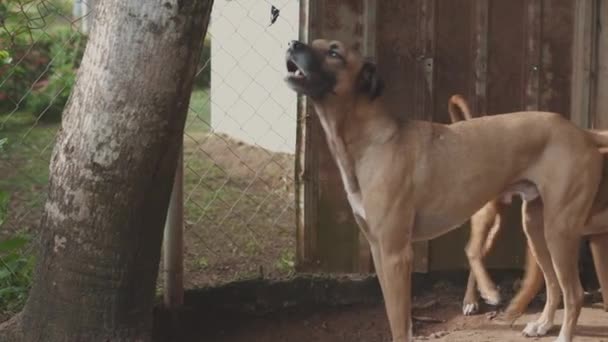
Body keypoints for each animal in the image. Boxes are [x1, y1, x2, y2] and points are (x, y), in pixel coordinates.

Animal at [284, 38, 608, 340]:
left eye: (334, 52)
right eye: (316, 42)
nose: (292, 44)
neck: (372, 139)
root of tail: (581, 133)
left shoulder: (395, 253)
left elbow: (400, 324)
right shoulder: (378, 250)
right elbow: (395, 316)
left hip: (559, 230)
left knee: (573, 293)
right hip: (536, 227)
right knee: (553, 284)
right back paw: (542, 324)